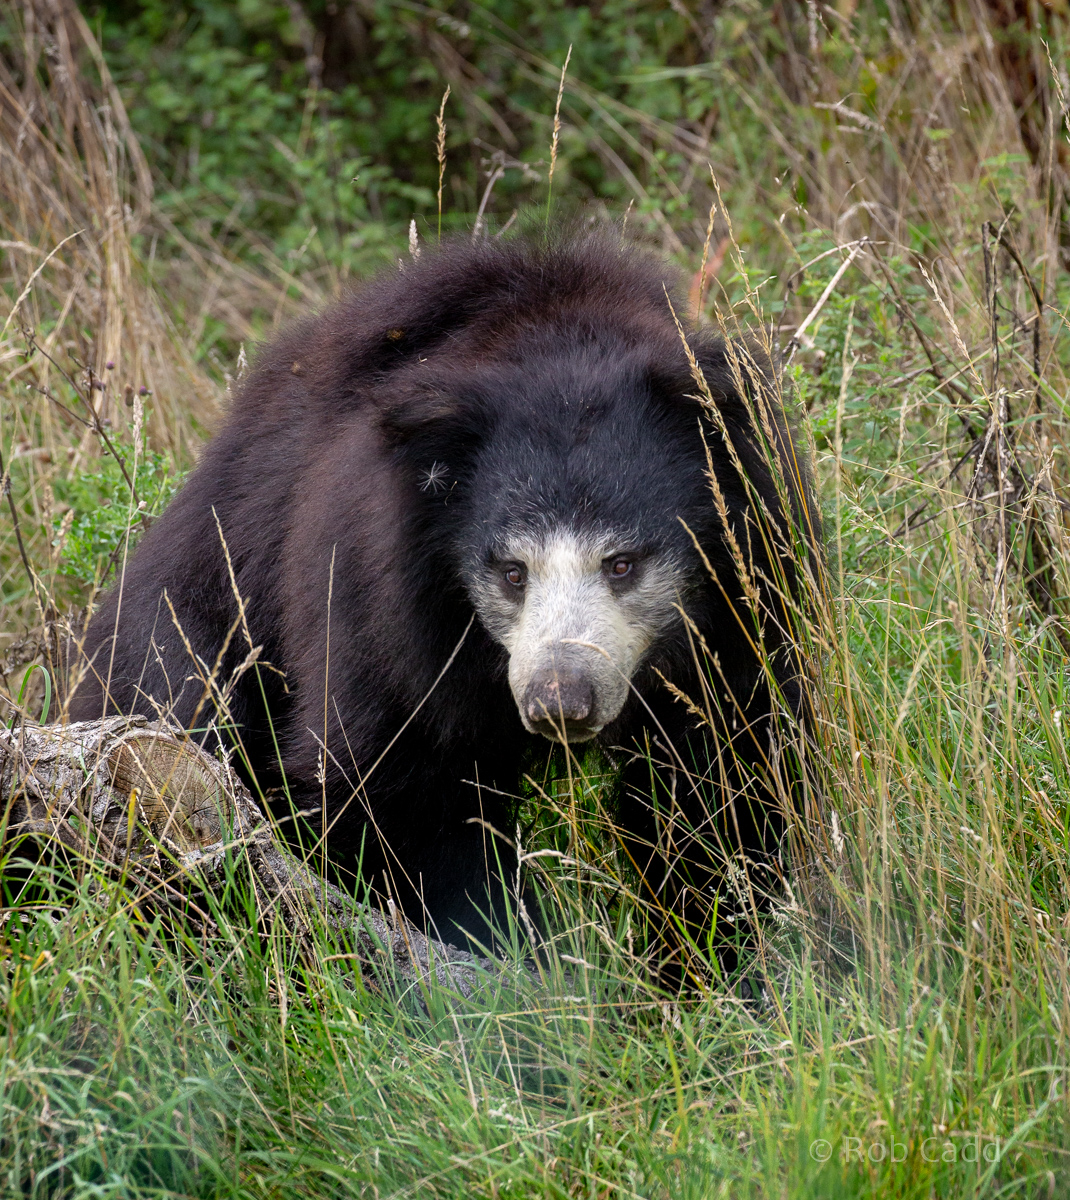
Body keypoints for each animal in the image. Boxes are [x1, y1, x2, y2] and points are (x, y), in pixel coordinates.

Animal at [68, 234, 819, 976]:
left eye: (623, 563)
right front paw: (514, 964)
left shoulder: (744, 594)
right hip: (193, 633)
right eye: (512, 572)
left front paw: (707, 963)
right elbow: (395, 786)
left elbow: (717, 780)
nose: (560, 700)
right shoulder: (381, 602)